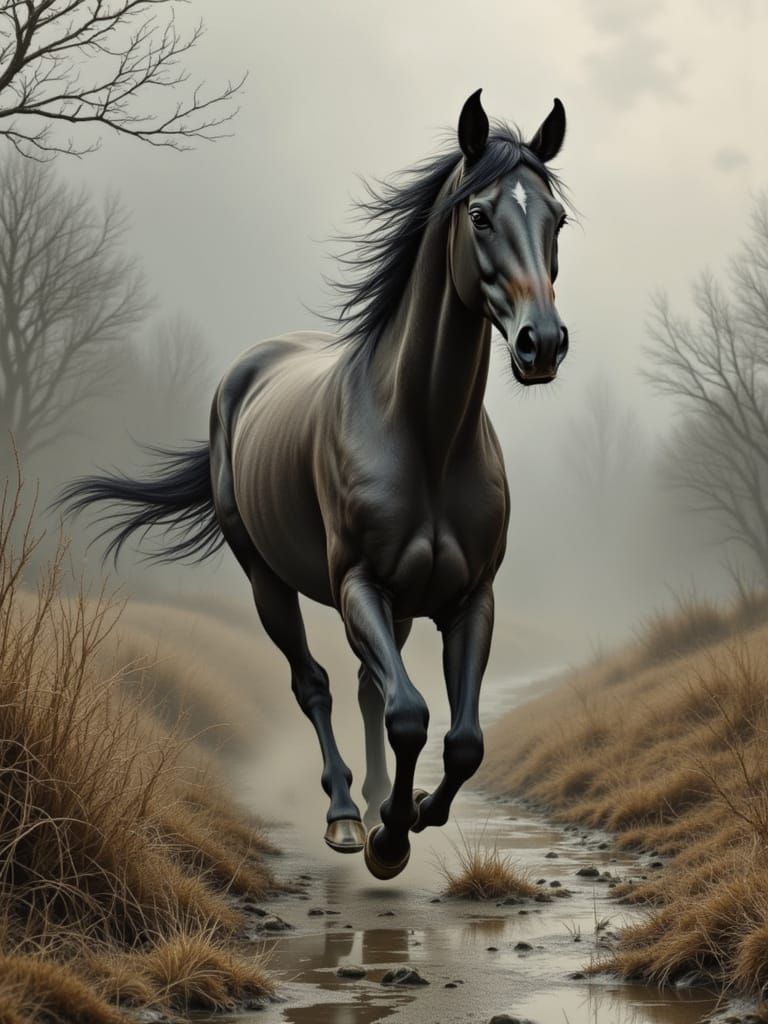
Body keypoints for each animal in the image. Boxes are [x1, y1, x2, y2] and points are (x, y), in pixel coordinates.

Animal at [59, 90, 570, 880]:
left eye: (557, 219)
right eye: (481, 215)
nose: (541, 344)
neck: (424, 435)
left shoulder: (469, 598)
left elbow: (462, 740)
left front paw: (412, 811)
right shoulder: (358, 582)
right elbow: (409, 714)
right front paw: (388, 839)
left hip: (392, 603)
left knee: (366, 687)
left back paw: (379, 799)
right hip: (268, 579)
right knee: (317, 685)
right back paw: (344, 814)